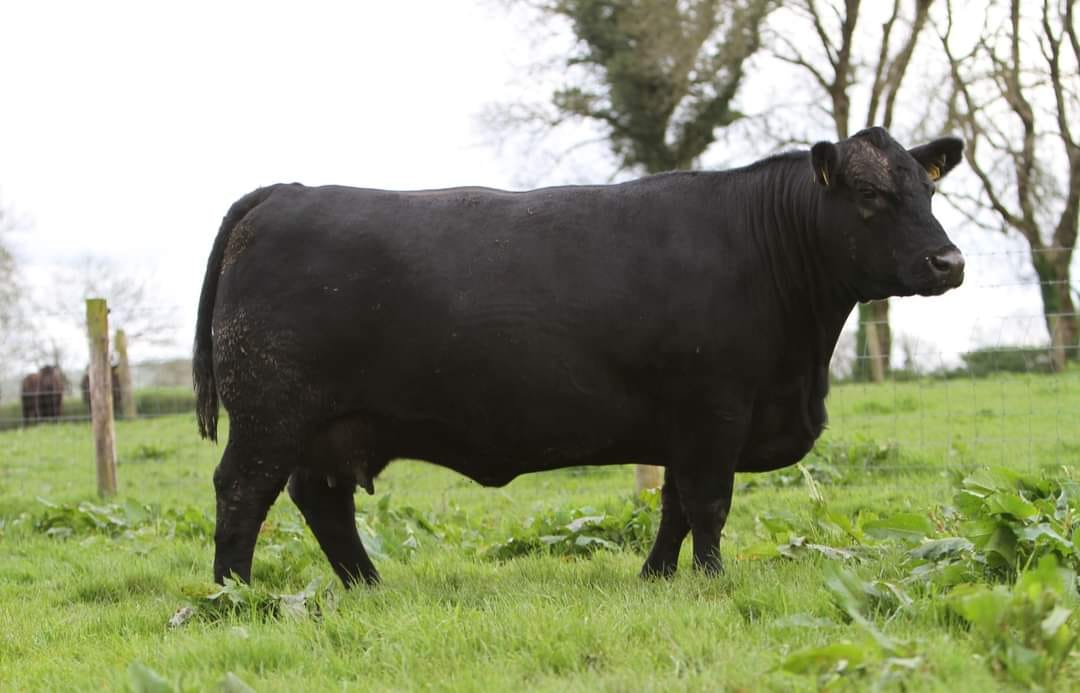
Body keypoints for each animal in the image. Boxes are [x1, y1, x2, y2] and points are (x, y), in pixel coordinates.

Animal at [194, 127, 966, 588]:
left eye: (929, 188)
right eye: (869, 194)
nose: (949, 261)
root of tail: (286, 192)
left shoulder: (682, 423)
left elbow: (674, 505)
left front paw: (657, 576)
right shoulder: (714, 407)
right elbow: (709, 503)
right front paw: (710, 579)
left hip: (328, 426)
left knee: (321, 499)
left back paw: (368, 585)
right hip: (269, 412)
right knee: (243, 493)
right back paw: (233, 594)